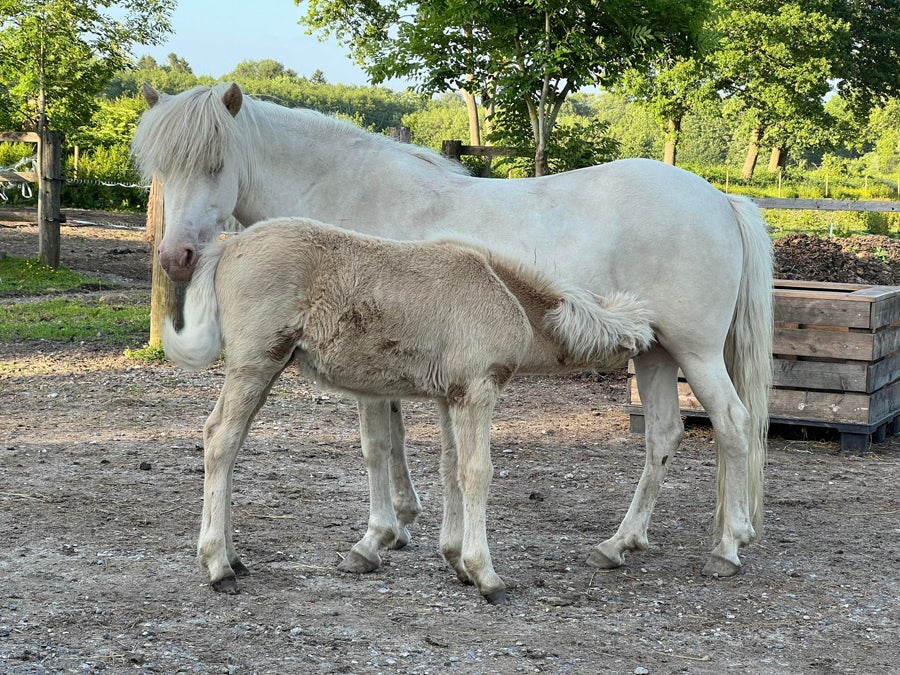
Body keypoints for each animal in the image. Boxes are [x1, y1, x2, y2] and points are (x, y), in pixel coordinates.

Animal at [163, 218, 652, 604]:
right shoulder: (478, 389)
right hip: (255, 362)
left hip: (268, 368)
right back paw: (218, 567)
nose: (647, 359)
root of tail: (226, 248)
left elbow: (451, 468)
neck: (503, 292)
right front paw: (486, 575)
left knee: (230, 442)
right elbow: (478, 471)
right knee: (221, 437)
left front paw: (456, 562)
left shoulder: (451, 395)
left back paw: (234, 558)